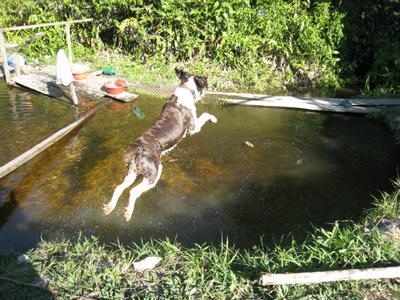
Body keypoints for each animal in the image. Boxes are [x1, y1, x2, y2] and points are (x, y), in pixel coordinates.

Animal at [102, 69, 216, 221]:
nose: (206, 92)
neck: (185, 89)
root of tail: (138, 149)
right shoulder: (194, 127)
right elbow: (206, 114)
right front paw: (214, 119)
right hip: (154, 174)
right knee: (133, 191)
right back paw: (128, 213)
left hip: (133, 171)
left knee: (119, 187)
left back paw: (110, 207)